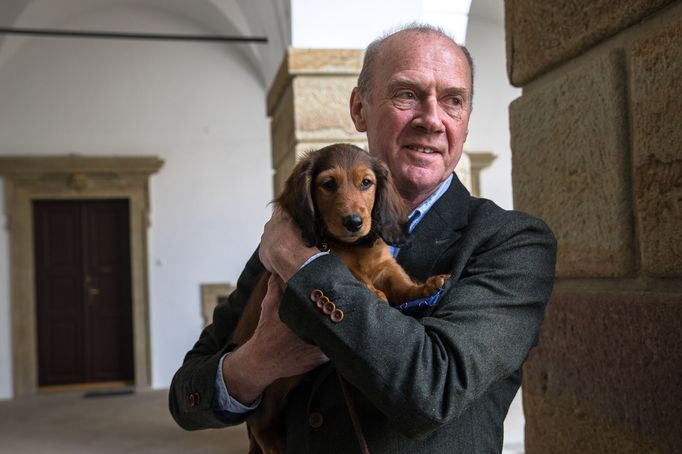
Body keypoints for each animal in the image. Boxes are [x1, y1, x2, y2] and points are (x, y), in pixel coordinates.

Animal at [231, 144, 448, 454]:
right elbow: (350, 273)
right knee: (261, 424)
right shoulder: (292, 276)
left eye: (366, 183)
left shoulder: (385, 265)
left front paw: (426, 287)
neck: (352, 246)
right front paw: (374, 291)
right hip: (265, 392)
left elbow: (400, 283)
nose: (354, 222)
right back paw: (277, 445)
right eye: (328, 184)